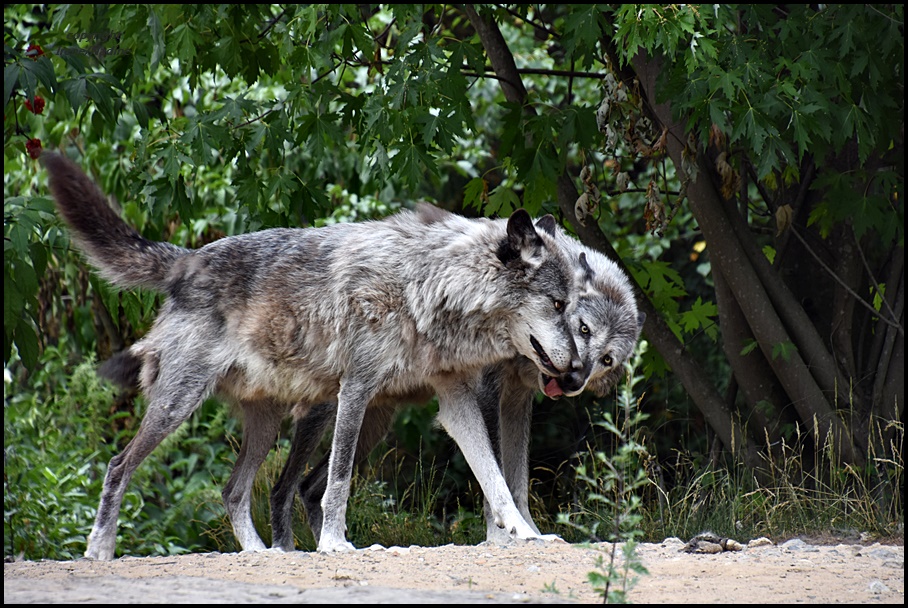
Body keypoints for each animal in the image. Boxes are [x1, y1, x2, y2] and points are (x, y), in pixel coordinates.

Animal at [44, 154, 588, 560]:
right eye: (558, 305)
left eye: (576, 306)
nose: (577, 371)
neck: (425, 284)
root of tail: (187, 259)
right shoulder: (357, 389)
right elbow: (339, 481)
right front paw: (334, 544)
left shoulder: (453, 400)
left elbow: (496, 480)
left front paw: (528, 535)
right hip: (180, 407)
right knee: (118, 466)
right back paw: (99, 550)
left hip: (269, 425)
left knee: (233, 490)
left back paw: (261, 554)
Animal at [264, 232, 644, 548]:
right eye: (583, 328)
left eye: (608, 359)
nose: (573, 380)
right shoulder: (486, 394)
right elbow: (496, 470)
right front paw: (500, 538)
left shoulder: (517, 402)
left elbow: (516, 480)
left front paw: (530, 532)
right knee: (285, 487)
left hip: (372, 428)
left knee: (309, 488)